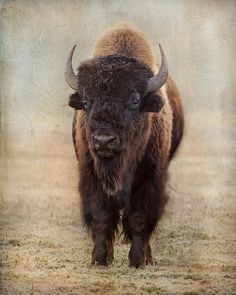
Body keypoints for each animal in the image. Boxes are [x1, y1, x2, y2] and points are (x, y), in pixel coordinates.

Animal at [64, 23, 184, 268]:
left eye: (135, 101)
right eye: (86, 101)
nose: (104, 141)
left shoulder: (150, 177)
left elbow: (139, 219)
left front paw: (138, 261)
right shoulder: (91, 176)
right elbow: (101, 217)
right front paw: (99, 259)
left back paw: (148, 258)